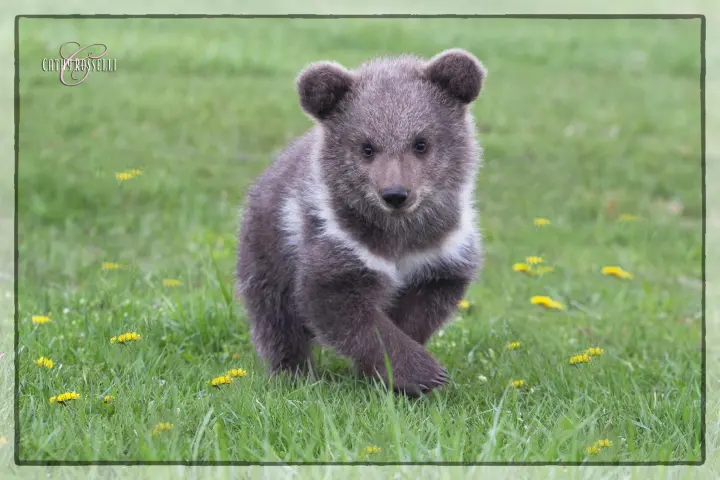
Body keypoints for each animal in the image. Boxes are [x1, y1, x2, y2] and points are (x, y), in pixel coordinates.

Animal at [236, 48, 486, 396]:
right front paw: (422, 373)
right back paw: (291, 374)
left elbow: (420, 310)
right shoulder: (341, 244)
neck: (399, 234)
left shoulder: (439, 253)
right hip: (269, 247)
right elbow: (345, 310)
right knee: (275, 317)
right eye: (367, 147)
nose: (395, 194)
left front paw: (391, 375)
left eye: (420, 143)